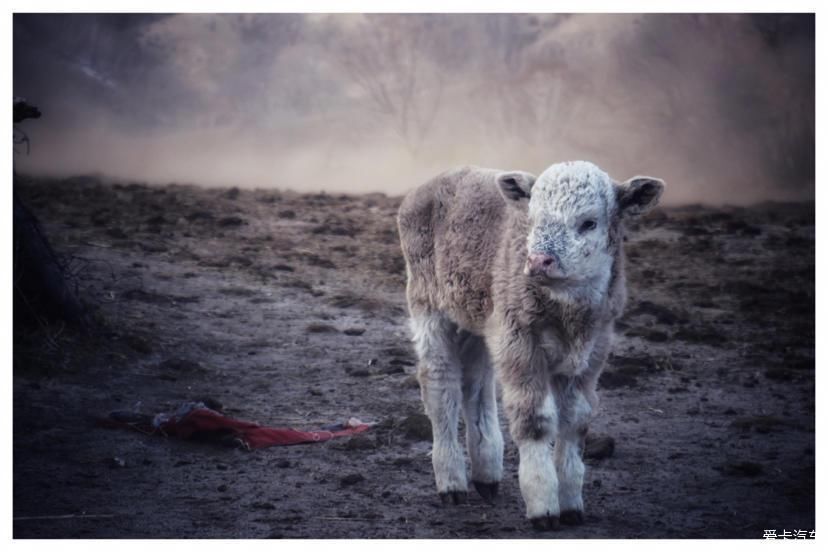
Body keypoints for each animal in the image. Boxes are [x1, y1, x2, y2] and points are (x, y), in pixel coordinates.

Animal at [398, 161, 664, 532]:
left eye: (589, 222)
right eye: (534, 219)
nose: (539, 261)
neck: (569, 315)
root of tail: (435, 182)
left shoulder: (592, 353)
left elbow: (576, 420)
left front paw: (571, 504)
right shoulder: (519, 343)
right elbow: (533, 419)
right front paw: (543, 507)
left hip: (480, 320)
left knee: (476, 384)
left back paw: (487, 476)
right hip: (428, 306)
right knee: (441, 385)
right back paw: (451, 483)